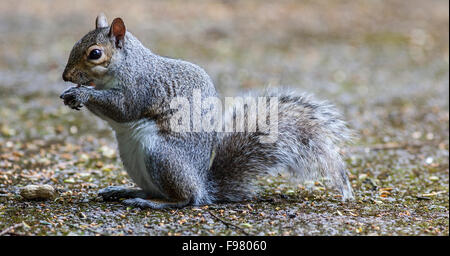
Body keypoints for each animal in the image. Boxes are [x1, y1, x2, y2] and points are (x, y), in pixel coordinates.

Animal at [60, 14, 356, 209]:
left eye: (95, 53)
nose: (65, 76)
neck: (128, 65)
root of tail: (203, 186)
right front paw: (71, 94)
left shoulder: (142, 88)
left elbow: (123, 109)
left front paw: (81, 93)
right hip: (135, 159)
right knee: (156, 190)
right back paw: (124, 191)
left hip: (162, 156)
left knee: (183, 199)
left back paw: (150, 203)